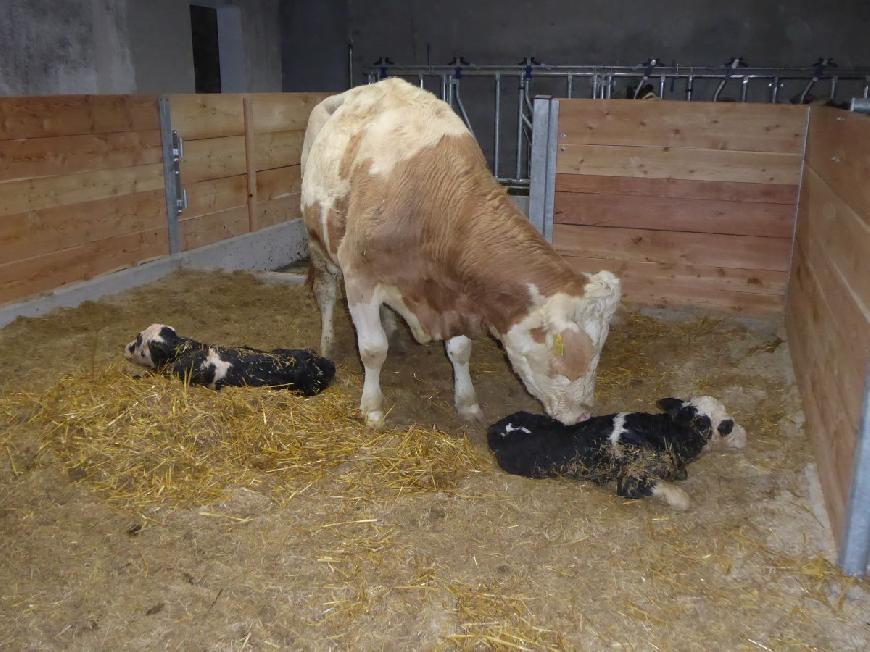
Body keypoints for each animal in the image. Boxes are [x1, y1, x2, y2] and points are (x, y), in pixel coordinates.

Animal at [300, 77, 620, 428]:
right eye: (569, 353)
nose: (583, 414)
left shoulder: (457, 295)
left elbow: (461, 349)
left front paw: (467, 402)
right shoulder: (360, 275)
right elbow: (372, 349)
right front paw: (372, 408)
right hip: (318, 242)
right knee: (326, 293)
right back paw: (327, 343)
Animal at [490, 398, 748, 510]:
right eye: (725, 426)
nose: (745, 436)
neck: (661, 433)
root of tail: (497, 429)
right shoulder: (631, 481)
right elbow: (674, 494)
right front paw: (679, 498)